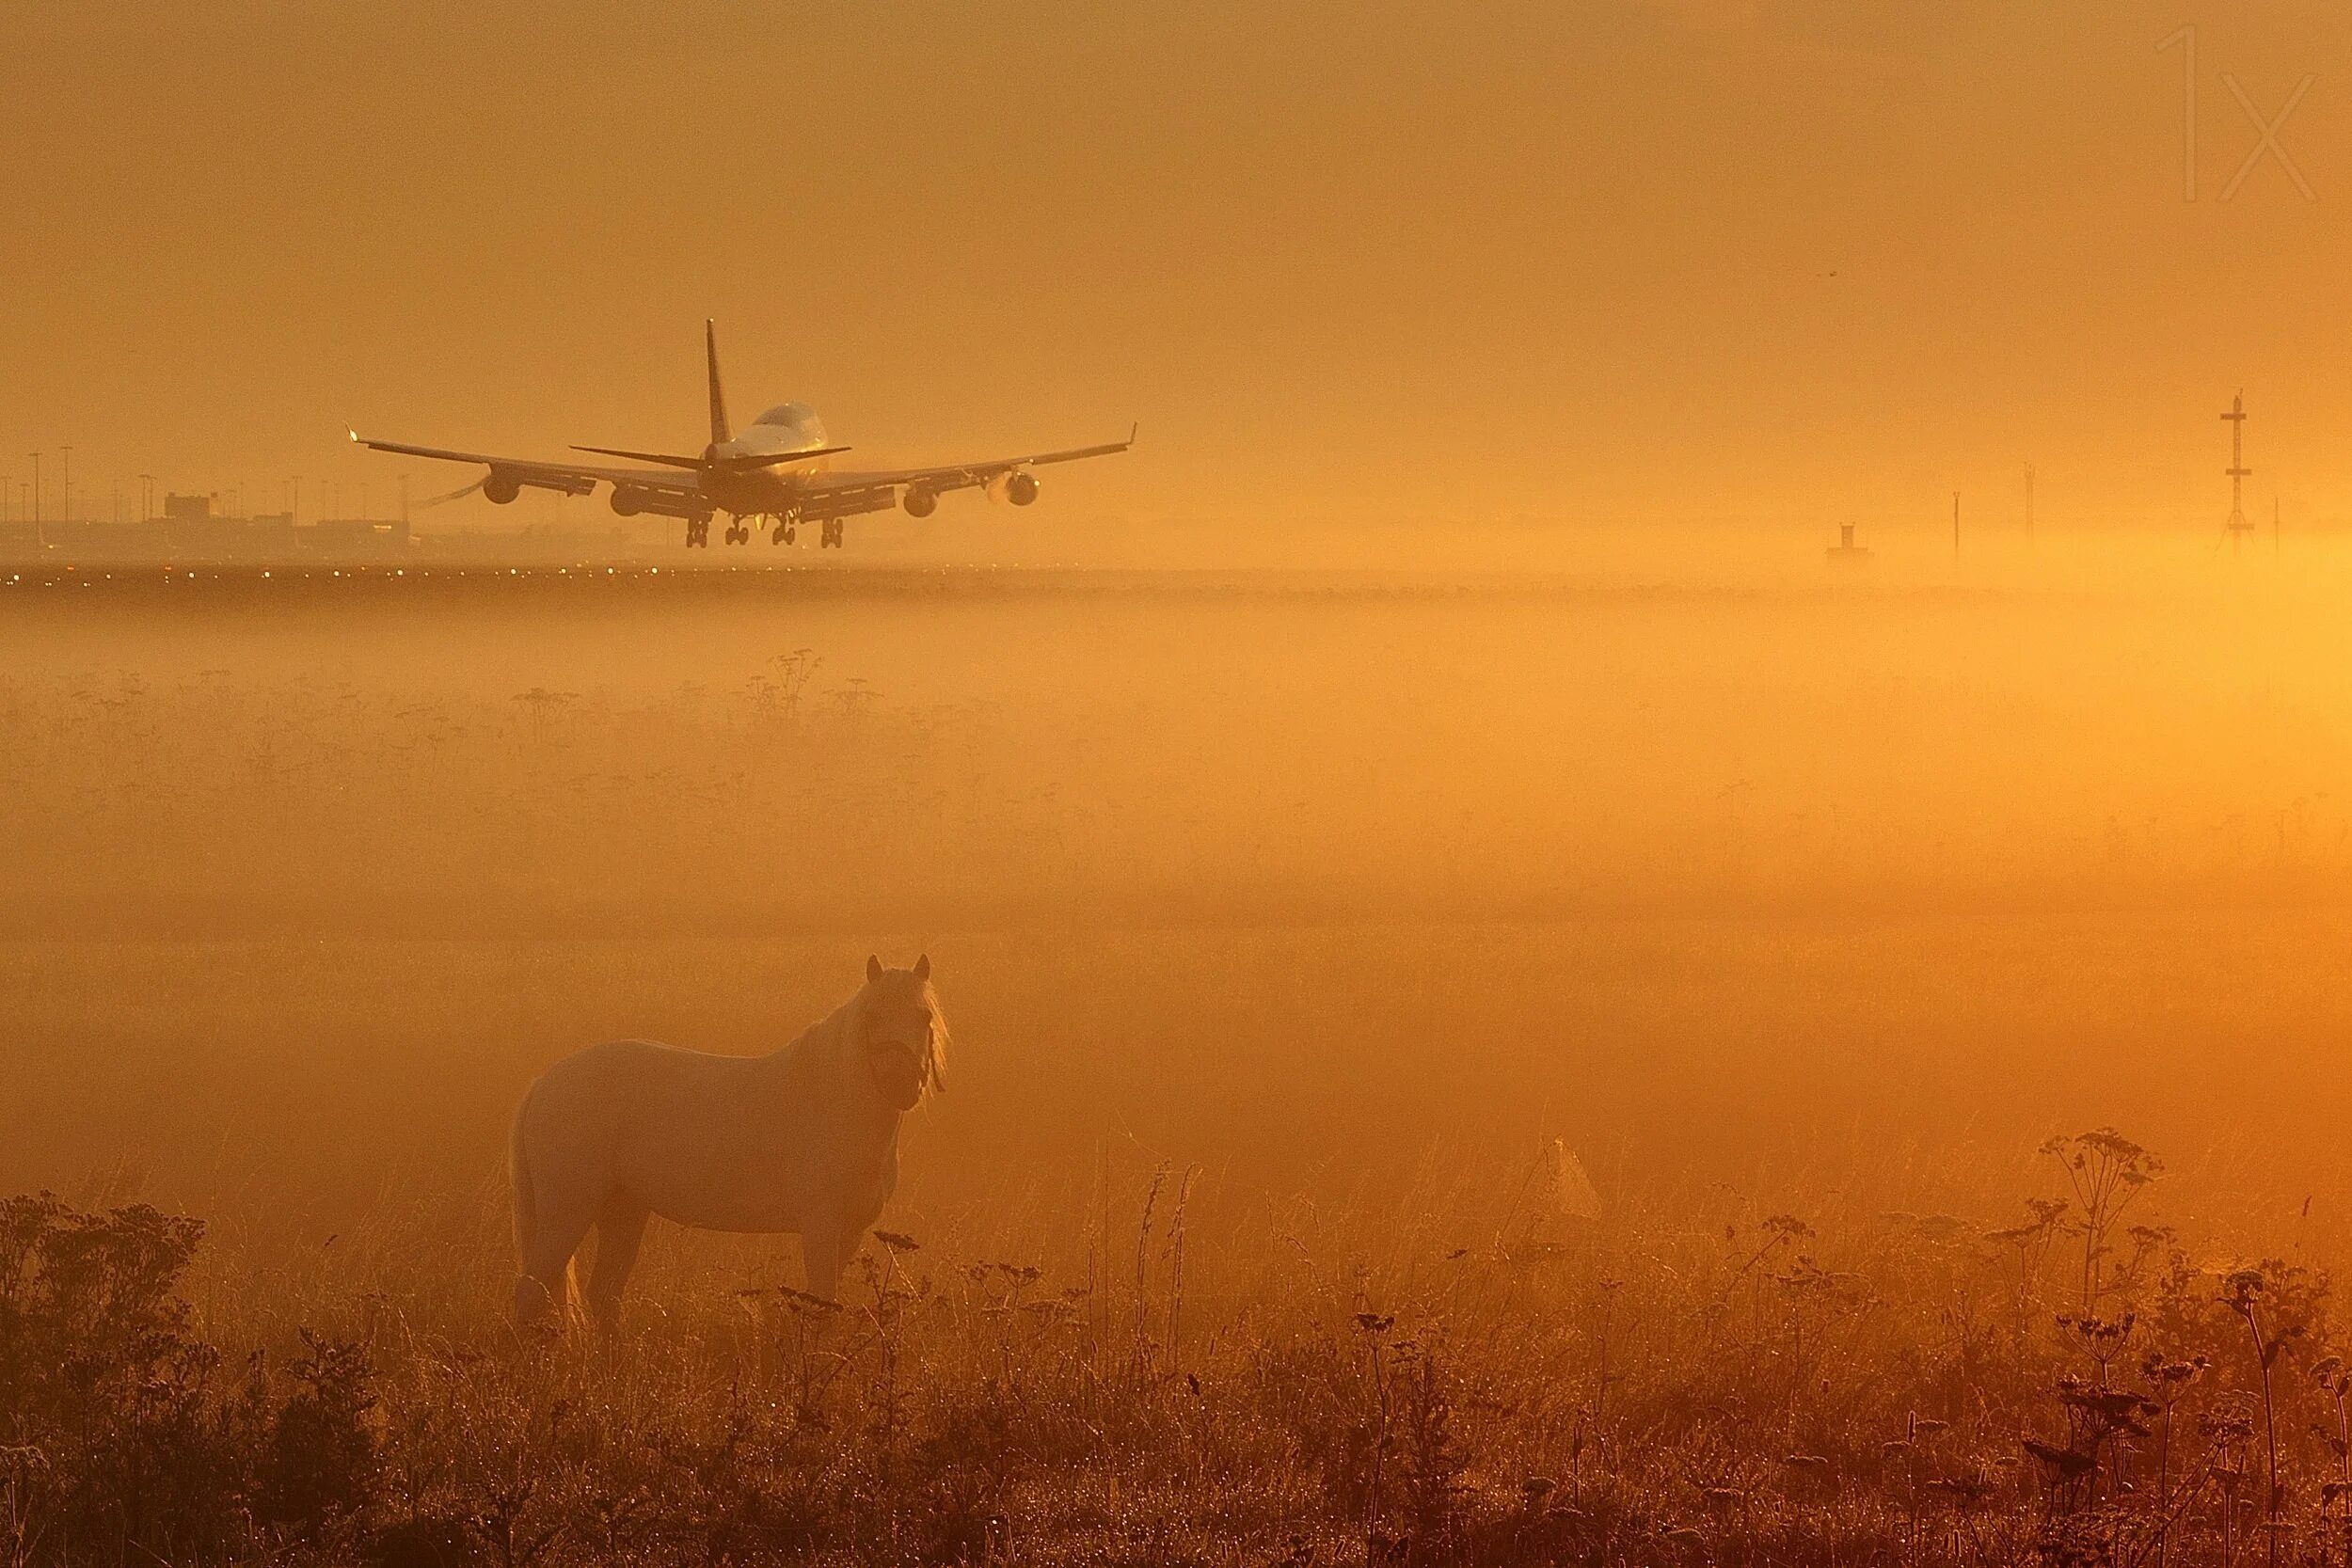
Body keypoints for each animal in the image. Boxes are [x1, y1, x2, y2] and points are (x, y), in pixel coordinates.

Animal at [508, 949, 946, 1335]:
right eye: (872, 1016)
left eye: (924, 1016)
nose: (901, 1083)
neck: (832, 1101)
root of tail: (543, 1084)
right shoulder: (820, 1227)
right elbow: (823, 1306)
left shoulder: (849, 1234)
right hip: (567, 1213)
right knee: (531, 1293)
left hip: (623, 1211)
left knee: (603, 1295)